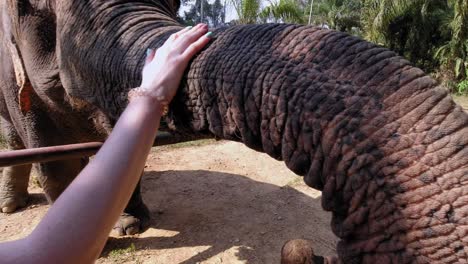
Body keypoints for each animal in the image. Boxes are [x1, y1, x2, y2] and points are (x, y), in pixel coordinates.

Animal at [0, 0, 466, 262]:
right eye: (42, 13)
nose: (309, 253)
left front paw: (131, 226)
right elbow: (52, 158)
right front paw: (106, 245)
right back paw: (12, 206)